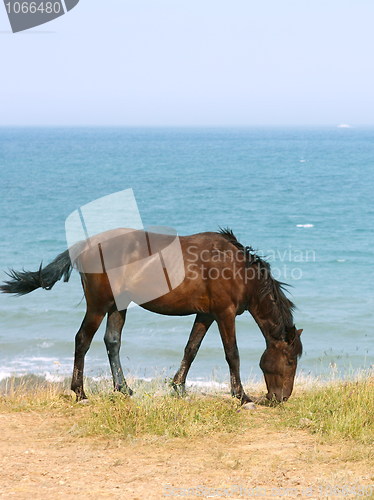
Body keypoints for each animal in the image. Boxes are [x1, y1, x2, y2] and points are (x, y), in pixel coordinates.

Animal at [0, 229, 302, 404]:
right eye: (289, 360)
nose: (281, 398)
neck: (236, 268)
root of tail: (85, 246)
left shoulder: (205, 315)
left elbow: (191, 349)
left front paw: (179, 388)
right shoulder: (223, 314)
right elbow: (232, 354)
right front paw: (242, 397)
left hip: (116, 306)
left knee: (112, 342)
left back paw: (123, 389)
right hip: (98, 305)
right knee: (82, 340)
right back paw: (81, 393)